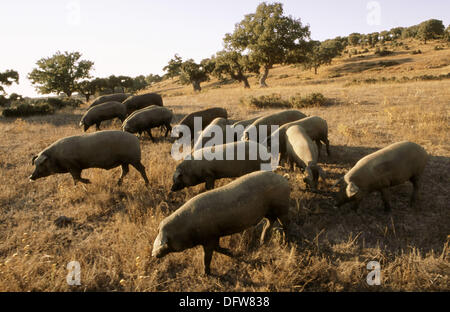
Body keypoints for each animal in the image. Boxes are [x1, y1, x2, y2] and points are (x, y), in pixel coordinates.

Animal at [153, 171, 290, 276]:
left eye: (166, 241)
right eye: (158, 232)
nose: (153, 254)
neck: (187, 228)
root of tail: (284, 178)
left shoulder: (209, 237)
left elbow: (207, 257)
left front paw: (205, 274)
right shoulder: (214, 236)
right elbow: (218, 249)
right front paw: (232, 252)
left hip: (282, 206)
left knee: (285, 224)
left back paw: (285, 244)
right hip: (269, 211)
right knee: (270, 223)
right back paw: (262, 242)